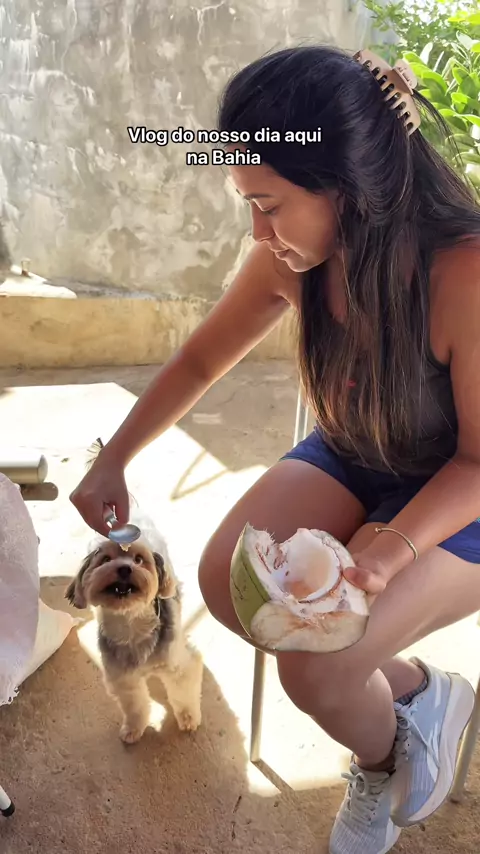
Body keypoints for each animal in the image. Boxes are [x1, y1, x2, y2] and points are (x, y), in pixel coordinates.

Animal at [66, 442, 203, 743]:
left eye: (139, 559)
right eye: (105, 560)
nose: (125, 568)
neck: (132, 626)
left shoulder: (177, 667)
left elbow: (184, 693)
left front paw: (188, 718)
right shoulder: (123, 679)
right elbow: (135, 705)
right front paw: (134, 728)